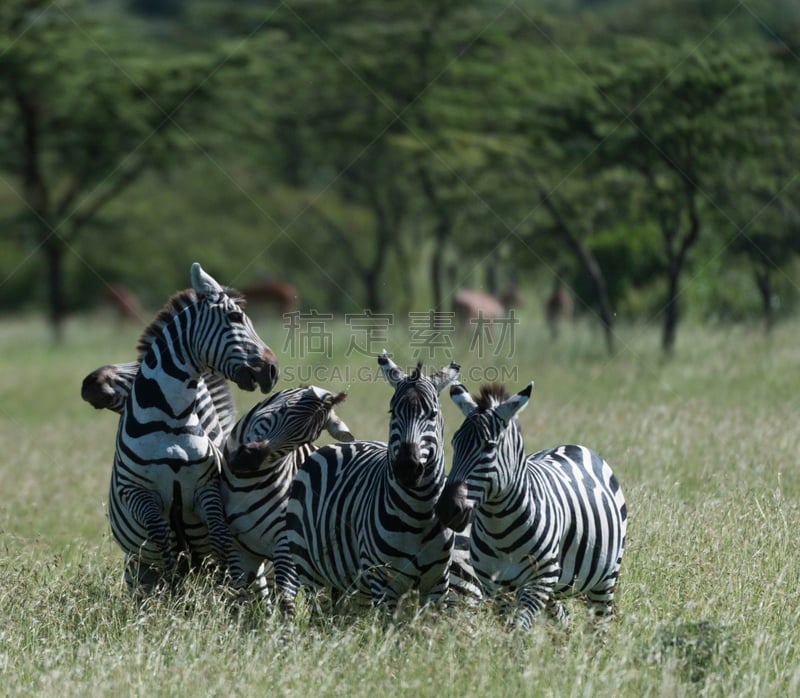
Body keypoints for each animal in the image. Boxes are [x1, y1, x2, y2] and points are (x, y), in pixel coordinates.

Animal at [108, 264, 280, 588]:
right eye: (235, 318)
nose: (273, 370)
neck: (172, 419)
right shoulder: (137, 492)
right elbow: (163, 540)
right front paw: (172, 586)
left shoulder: (205, 488)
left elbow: (221, 539)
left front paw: (223, 587)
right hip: (133, 566)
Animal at [220, 384, 354, 600]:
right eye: (283, 410)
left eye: (302, 439)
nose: (249, 460)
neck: (244, 486)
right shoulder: (239, 546)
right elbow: (239, 596)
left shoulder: (287, 547)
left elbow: (285, 599)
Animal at [276, 354, 460, 616]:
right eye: (393, 412)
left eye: (432, 415)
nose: (407, 467)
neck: (420, 514)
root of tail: (339, 445)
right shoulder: (383, 582)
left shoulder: (438, 584)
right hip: (312, 572)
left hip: (351, 583)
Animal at [434, 380, 628, 632]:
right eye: (454, 443)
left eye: (489, 447)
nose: (447, 509)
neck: (499, 531)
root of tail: (573, 446)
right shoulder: (498, 587)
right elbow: (510, 630)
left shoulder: (539, 581)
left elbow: (519, 628)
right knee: (560, 616)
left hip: (605, 578)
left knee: (599, 622)